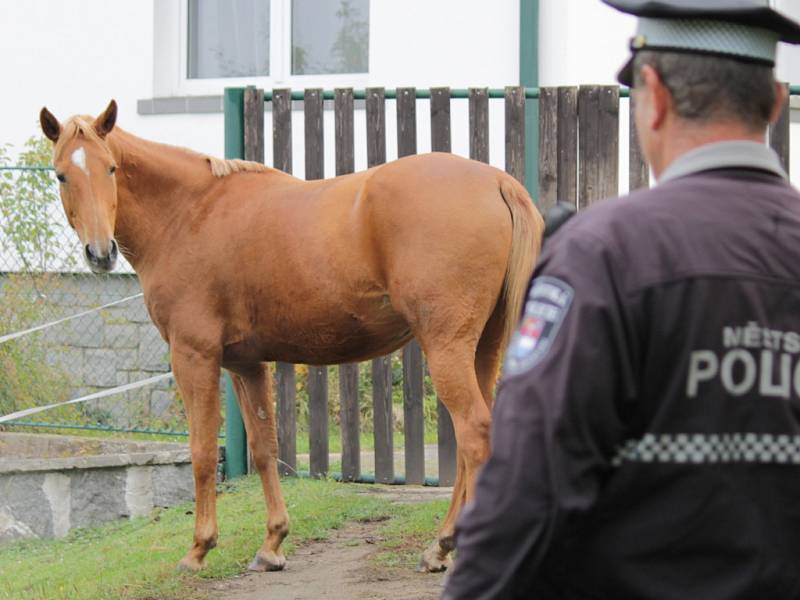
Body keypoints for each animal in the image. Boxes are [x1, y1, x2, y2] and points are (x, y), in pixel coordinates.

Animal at [39, 101, 544, 576]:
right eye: (62, 174)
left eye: (110, 168)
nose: (99, 252)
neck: (190, 212)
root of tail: (498, 181)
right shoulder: (244, 364)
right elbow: (266, 448)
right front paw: (272, 544)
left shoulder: (194, 357)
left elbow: (201, 453)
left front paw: (199, 549)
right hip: (482, 347)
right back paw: (440, 546)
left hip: (447, 348)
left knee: (474, 434)